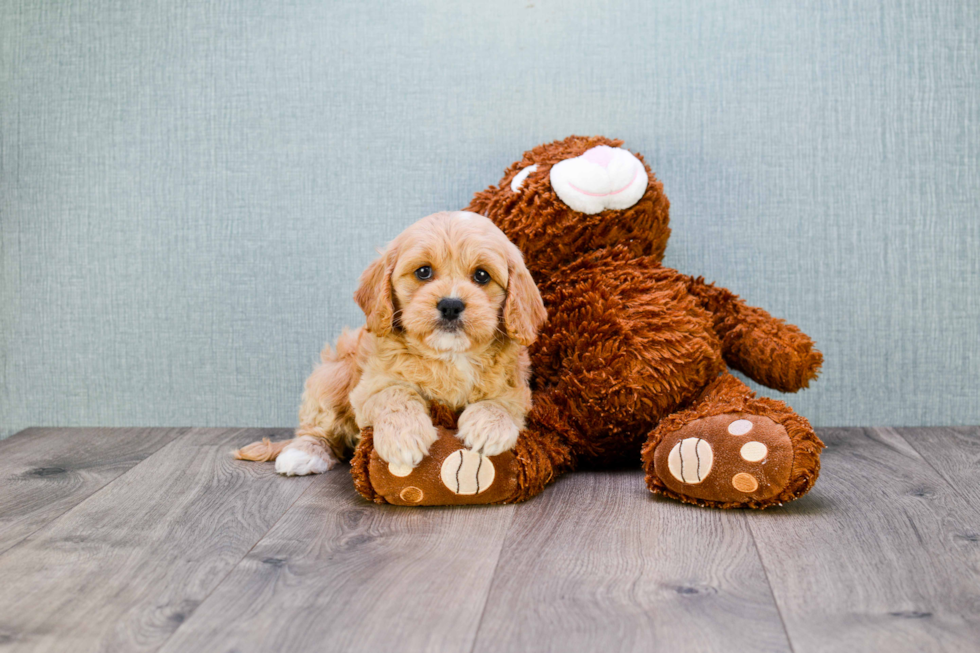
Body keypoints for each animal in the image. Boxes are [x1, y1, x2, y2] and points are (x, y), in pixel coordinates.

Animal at [234, 211, 548, 476]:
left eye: (482, 275)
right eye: (423, 272)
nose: (450, 305)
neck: (449, 355)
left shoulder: (517, 389)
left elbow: (501, 403)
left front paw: (488, 428)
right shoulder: (369, 388)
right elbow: (395, 394)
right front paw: (404, 438)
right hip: (333, 374)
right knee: (317, 428)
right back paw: (303, 453)